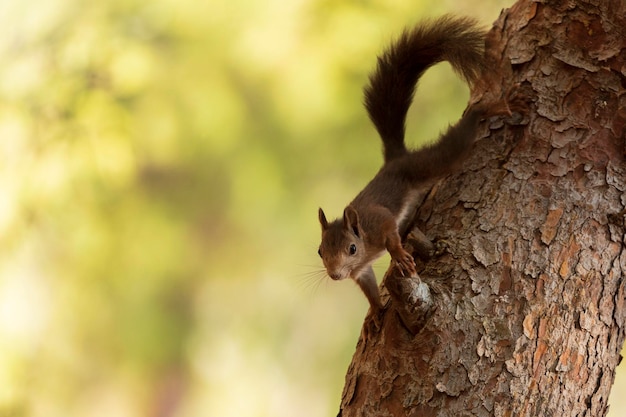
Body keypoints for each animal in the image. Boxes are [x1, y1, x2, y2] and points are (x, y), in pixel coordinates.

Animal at [316, 15, 488, 312]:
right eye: (320, 251)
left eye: (351, 248)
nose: (336, 275)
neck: (364, 243)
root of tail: (394, 159)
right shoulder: (361, 270)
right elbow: (369, 287)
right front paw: (376, 311)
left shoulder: (378, 220)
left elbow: (389, 231)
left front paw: (399, 254)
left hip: (424, 166)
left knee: (452, 148)